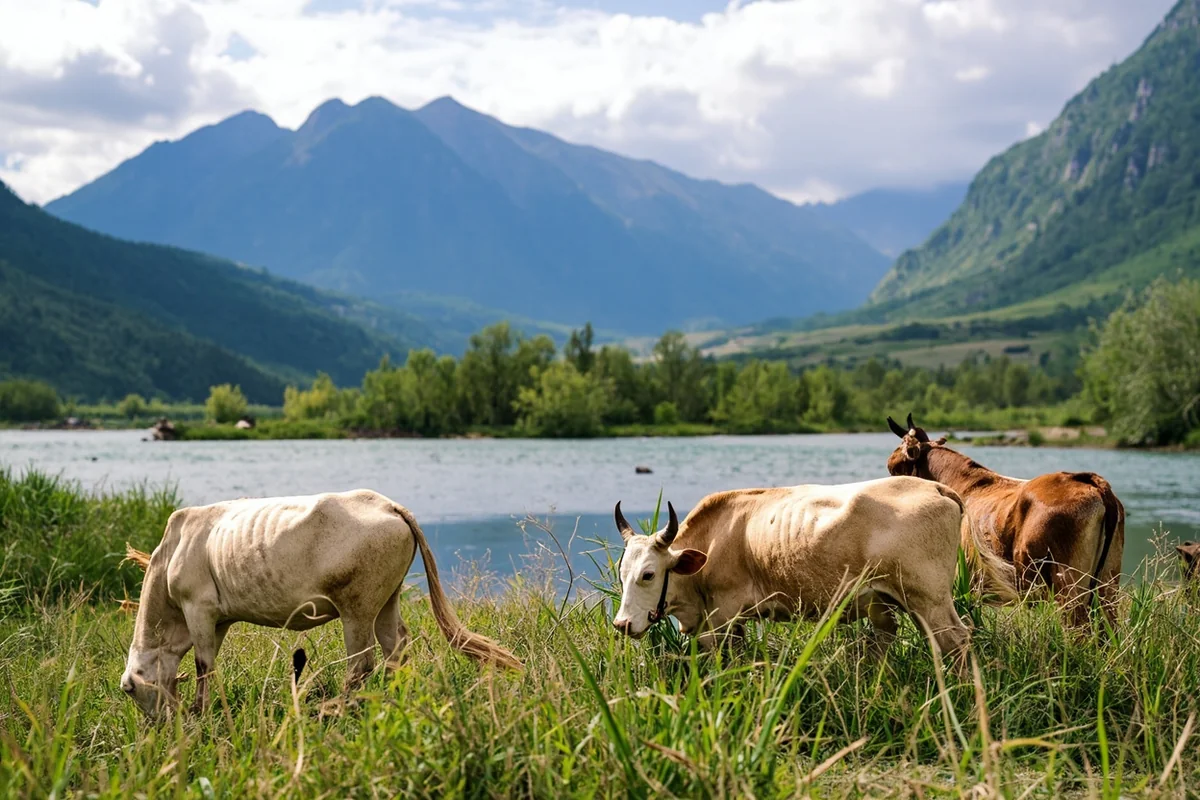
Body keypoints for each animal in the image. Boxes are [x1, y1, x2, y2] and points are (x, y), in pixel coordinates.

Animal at [120, 489, 522, 719]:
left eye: (129, 689)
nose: (155, 724)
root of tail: (387, 503)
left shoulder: (198, 608)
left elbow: (204, 666)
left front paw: (199, 712)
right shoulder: (218, 619)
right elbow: (210, 663)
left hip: (357, 607)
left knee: (361, 663)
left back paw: (336, 709)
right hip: (386, 600)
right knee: (396, 648)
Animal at [610, 476, 1018, 667]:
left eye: (648, 574)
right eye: (621, 572)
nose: (622, 624)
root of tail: (936, 487)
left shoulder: (724, 614)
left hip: (929, 599)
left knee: (957, 641)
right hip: (895, 602)